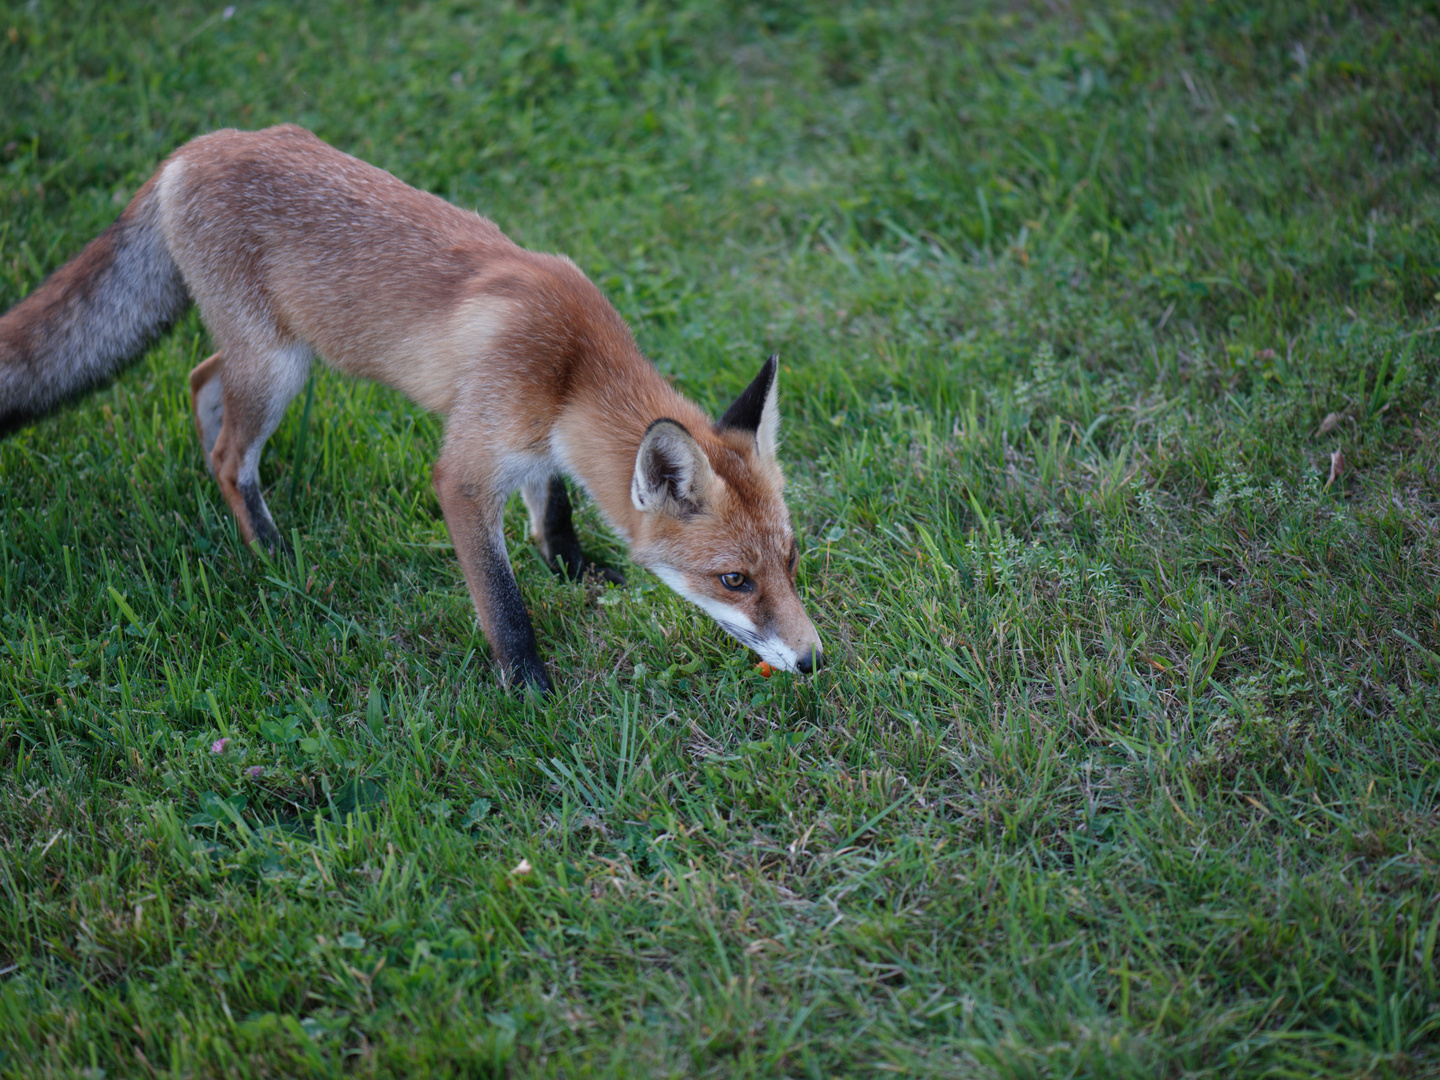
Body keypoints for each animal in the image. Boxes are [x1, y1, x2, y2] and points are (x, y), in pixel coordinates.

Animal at [2, 124, 823, 694]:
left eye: (789, 559)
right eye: (734, 581)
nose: (815, 660)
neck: (572, 367)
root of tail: (196, 146)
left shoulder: (533, 443)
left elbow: (553, 509)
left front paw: (571, 568)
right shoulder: (465, 471)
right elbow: (501, 600)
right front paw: (526, 685)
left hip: (260, 357)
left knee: (203, 383)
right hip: (279, 367)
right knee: (232, 456)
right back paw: (272, 552)